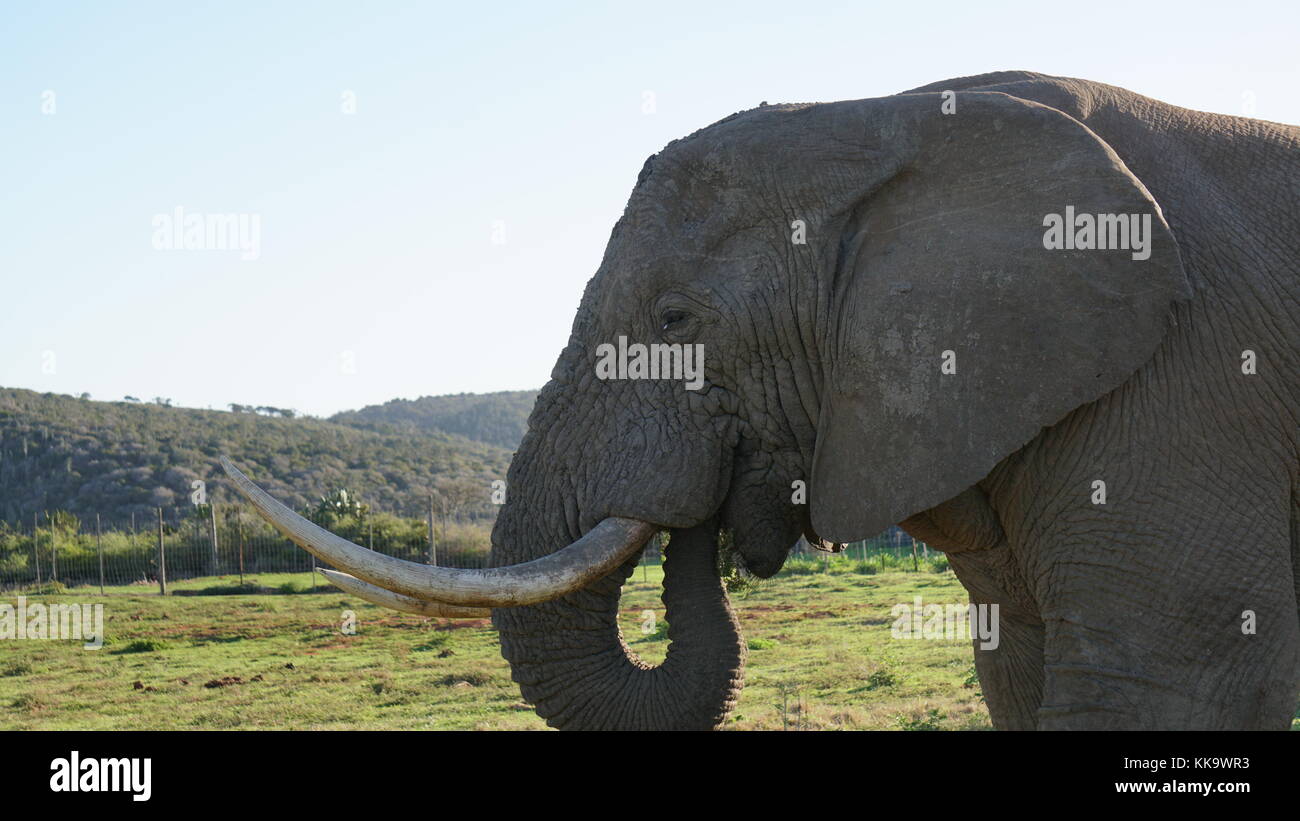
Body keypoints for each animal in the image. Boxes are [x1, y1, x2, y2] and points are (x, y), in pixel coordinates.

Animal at [223, 72, 1300, 732]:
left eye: (673, 319)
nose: (716, 503)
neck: (894, 114)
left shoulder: (1190, 381)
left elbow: (1153, 677)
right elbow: (1017, 670)